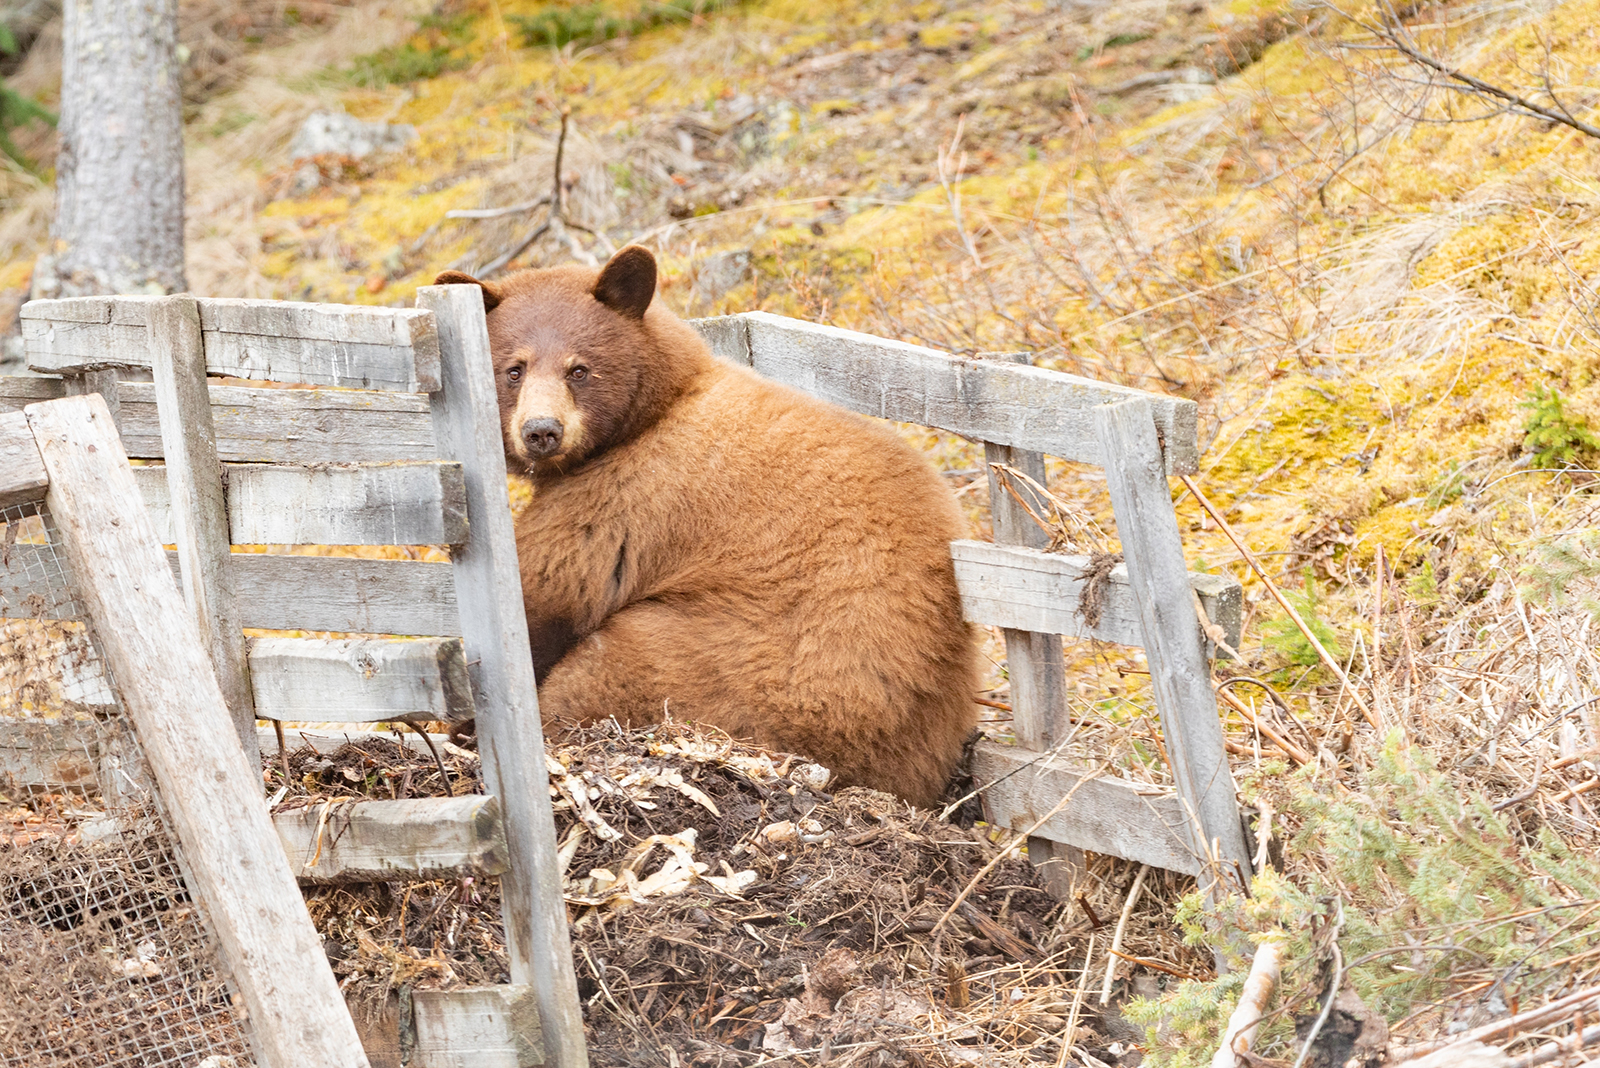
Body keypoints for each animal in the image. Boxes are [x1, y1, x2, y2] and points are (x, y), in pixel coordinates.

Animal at [435, 246, 972, 805]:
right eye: (513, 369)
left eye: (579, 369)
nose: (542, 431)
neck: (657, 408)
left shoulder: (622, 500)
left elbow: (547, 592)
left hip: (733, 668)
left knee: (609, 671)